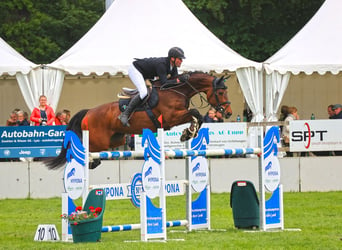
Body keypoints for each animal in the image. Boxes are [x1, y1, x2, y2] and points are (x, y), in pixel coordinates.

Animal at [45, 72, 232, 170]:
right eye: (221, 92)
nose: (228, 113)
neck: (177, 91)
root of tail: (88, 112)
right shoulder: (171, 118)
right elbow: (195, 113)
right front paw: (188, 132)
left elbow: (196, 117)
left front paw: (188, 133)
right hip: (99, 141)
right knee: (83, 150)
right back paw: (90, 162)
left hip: (116, 139)